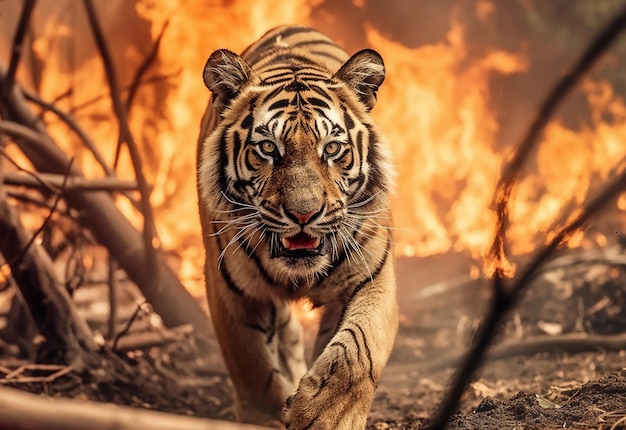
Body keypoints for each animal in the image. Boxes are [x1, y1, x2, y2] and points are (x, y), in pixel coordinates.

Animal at [197, 25, 398, 428]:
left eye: (332, 149)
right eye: (267, 148)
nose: (304, 214)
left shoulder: (372, 275)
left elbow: (358, 351)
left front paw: (325, 417)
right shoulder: (230, 289)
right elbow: (253, 368)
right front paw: (266, 417)